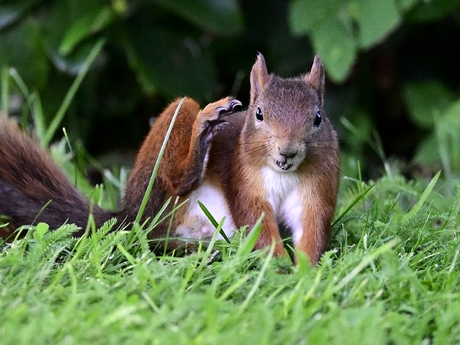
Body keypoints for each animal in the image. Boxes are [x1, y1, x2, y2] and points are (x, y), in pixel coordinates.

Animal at [0, 53, 338, 264]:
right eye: (259, 114)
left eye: (318, 118)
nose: (287, 151)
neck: (282, 173)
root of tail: (127, 215)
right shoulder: (244, 179)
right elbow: (257, 223)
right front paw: (279, 267)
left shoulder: (316, 187)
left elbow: (312, 225)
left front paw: (305, 273)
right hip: (165, 161)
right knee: (164, 204)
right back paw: (202, 133)